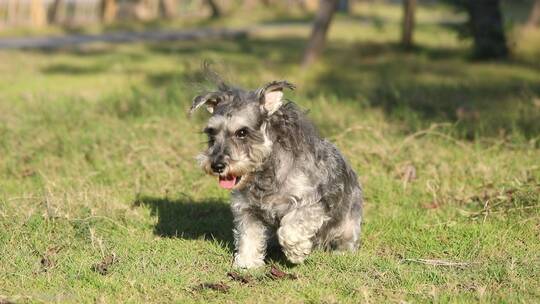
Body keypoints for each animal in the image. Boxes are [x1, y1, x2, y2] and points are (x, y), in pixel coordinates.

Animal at [190, 78, 362, 268]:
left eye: (242, 132)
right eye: (211, 133)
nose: (217, 165)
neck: (265, 175)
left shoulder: (310, 203)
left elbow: (289, 229)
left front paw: (296, 252)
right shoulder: (247, 211)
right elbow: (248, 237)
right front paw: (247, 263)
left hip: (348, 224)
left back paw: (342, 253)